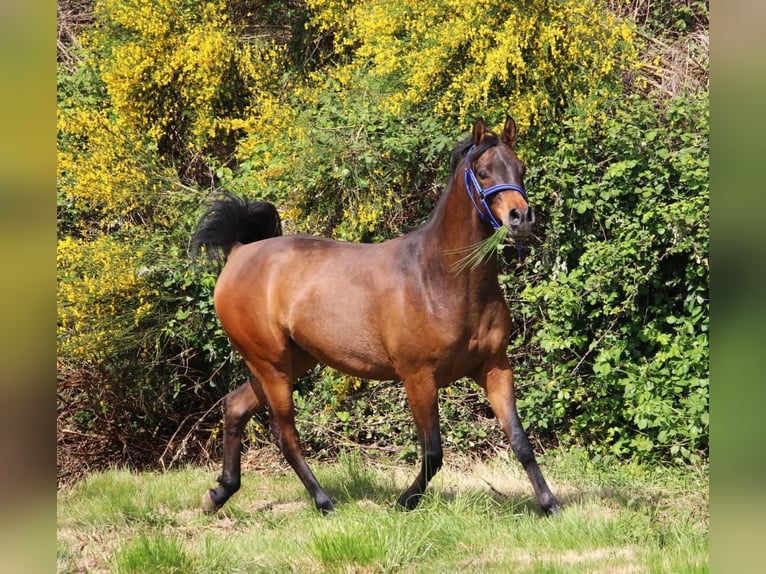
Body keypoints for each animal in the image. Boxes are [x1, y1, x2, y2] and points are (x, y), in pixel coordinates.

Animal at [195, 116, 560, 516]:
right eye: (482, 172)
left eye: (520, 168)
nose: (521, 218)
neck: (443, 279)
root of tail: (238, 252)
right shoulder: (418, 377)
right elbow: (433, 452)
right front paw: (404, 502)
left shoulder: (495, 368)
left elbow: (520, 442)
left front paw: (550, 505)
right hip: (271, 364)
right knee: (285, 434)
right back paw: (323, 502)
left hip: (290, 360)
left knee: (235, 406)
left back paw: (219, 492)